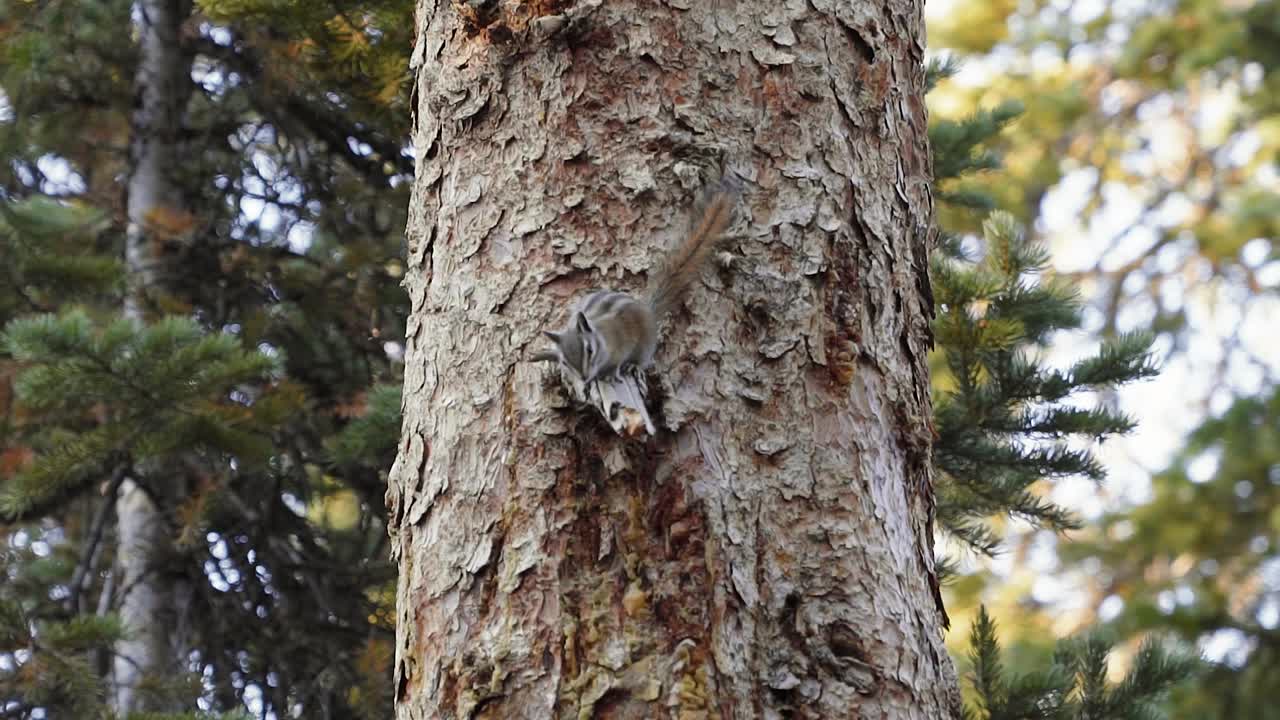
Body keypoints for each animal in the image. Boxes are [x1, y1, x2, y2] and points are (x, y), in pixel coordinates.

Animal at [534, 182, 738, 385]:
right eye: (565, 362)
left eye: (590, 350)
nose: (584, 378)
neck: (601, 336)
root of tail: (647, 309)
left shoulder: (621, 344)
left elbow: (617, 363)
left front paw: (611, 373)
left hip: (645, 345)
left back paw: (633, 366)